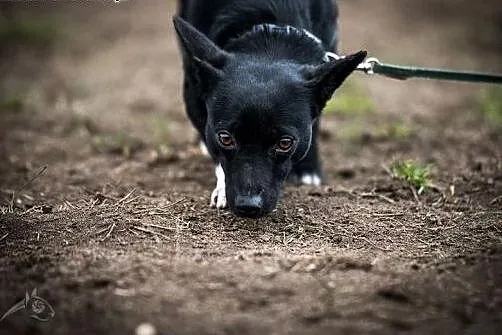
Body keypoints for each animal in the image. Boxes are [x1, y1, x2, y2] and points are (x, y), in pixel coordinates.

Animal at [173, 0, 364, 218]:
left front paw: (308, 170)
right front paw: (221, 188)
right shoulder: (193, 93)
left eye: (285, 143)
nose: (248, 206)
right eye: (225, 139)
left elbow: (313, 125)